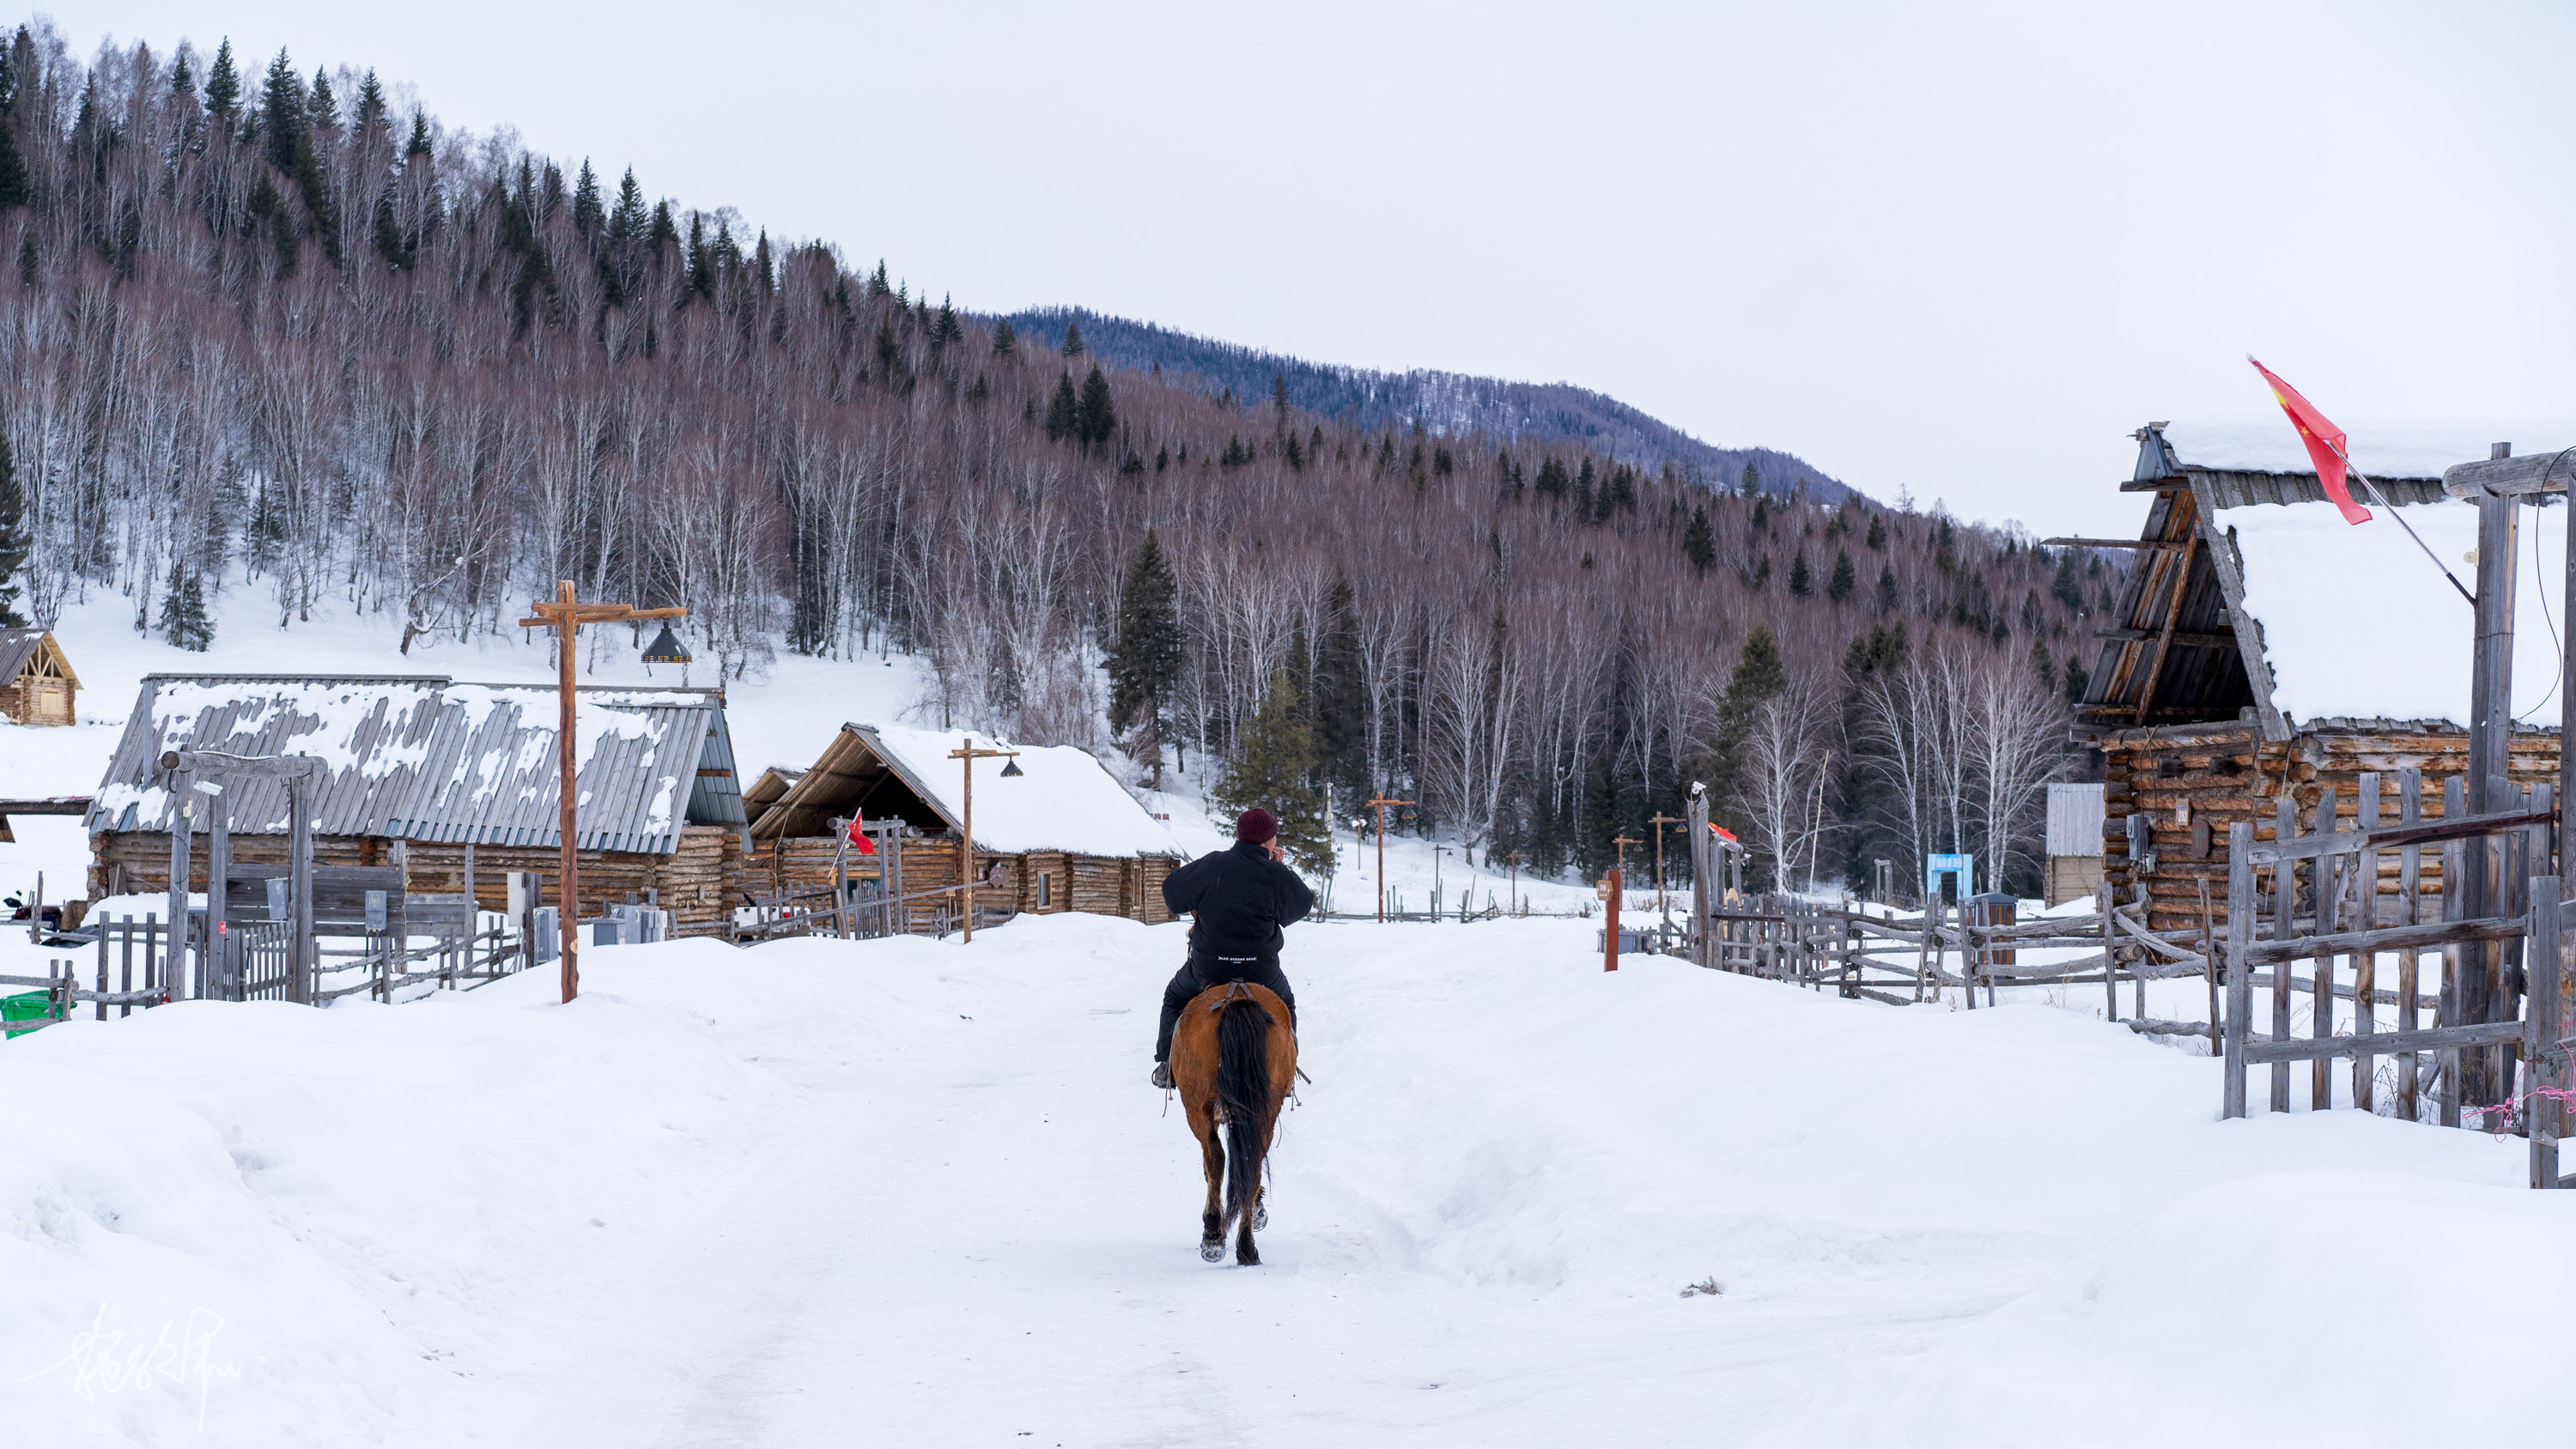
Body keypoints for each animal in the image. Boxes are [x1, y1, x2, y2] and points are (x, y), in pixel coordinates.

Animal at [1170, 983, 1298, 1266]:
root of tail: (1238, 996)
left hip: (1198, 1107)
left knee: (1216, 1157)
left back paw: (1213, 1235)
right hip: (1266, 1106)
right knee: (1253, 1161)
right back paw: (1247, 1248)